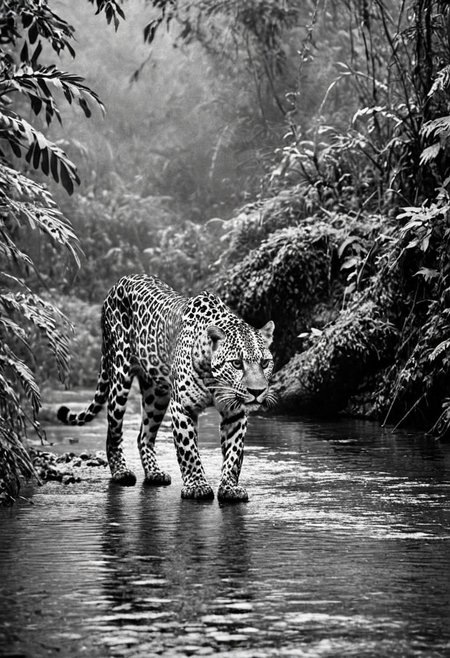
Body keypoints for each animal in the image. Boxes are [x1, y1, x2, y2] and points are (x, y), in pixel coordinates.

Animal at [57, 274, 275, 502]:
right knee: (114, 432)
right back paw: (121, 472)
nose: (257, 392)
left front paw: (230, 488)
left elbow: (234, 453)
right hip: (119, 375)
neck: (213, 378)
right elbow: (188, 449)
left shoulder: (235, 412)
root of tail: (121, 281)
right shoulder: (182, 407)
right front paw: (197, 486)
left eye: (265, 363)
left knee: (143, 436)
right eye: (237, 364)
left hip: (156, 395)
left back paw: (154, 473)